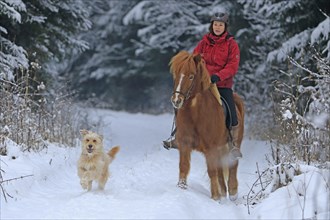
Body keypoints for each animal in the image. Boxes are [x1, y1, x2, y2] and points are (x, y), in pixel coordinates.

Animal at [169, 50, 244, 201]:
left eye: (191, 76)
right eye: (176, 74)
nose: (176, 100)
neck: (195, 113)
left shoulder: (210, 148)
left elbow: (212, 171)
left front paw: (215, 197)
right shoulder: (185, 144)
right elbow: (183, 166)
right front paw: (181, 188)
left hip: (235, 143)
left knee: (233, 165)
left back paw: (233, 193)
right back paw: (223, 191)